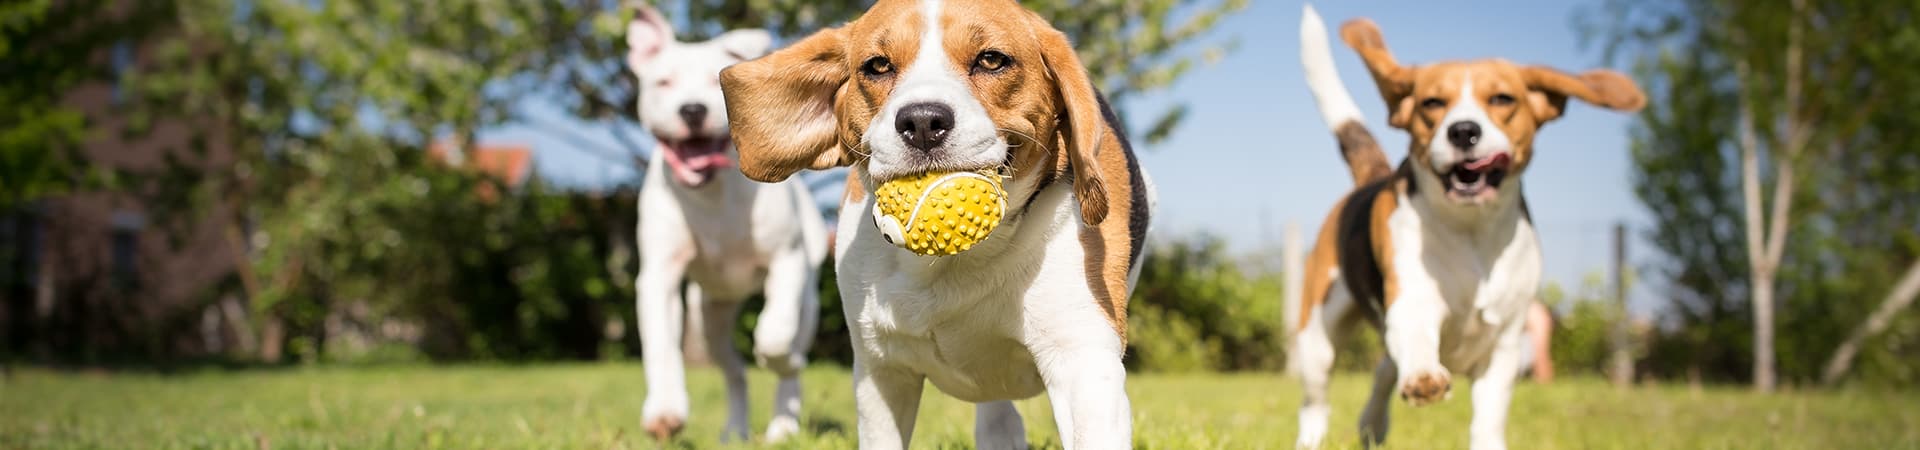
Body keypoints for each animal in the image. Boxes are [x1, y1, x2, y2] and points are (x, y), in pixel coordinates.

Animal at [625, 5, 829, 442]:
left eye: (714, 82)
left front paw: (779, 357)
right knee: (734, 371)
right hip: (709, 318)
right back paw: (735, 429)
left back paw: (783, 425)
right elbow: (660, 345)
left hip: (807, 299)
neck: (712, 193)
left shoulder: (786, 261)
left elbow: (774, 335)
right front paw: (665, 410)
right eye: (663, 82)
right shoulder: (659, 276)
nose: (692, 110)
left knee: (790, 357)